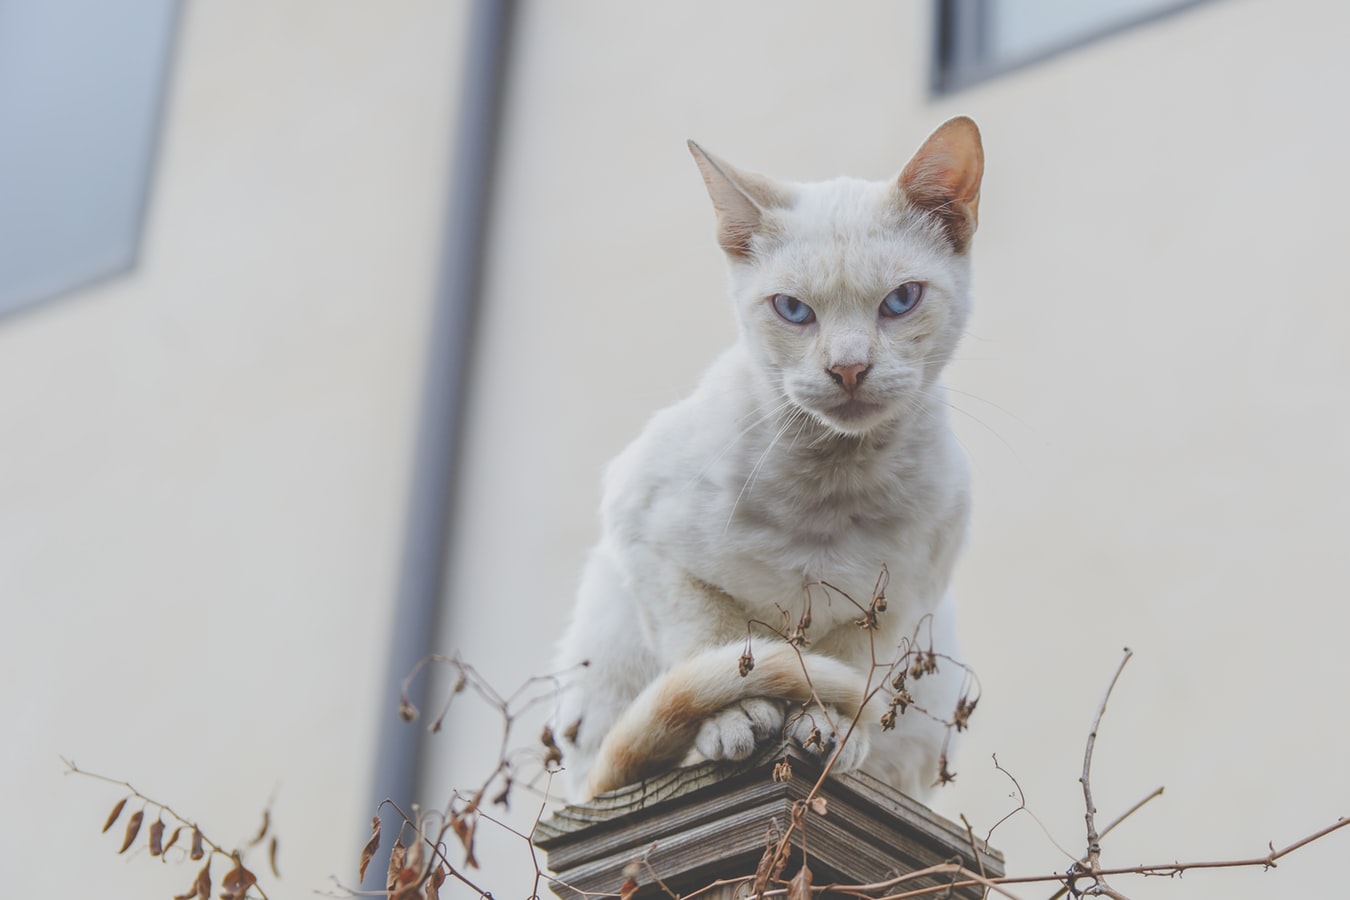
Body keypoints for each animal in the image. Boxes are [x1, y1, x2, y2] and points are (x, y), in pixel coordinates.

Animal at [553, 116, 988, 798]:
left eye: (901, 301)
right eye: (793, 309)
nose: (848, 368)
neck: (830, 486)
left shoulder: (901, 601)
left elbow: (844, 669)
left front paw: (829, 728)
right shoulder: (649, 541)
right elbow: (716, 644)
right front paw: (734, 719)